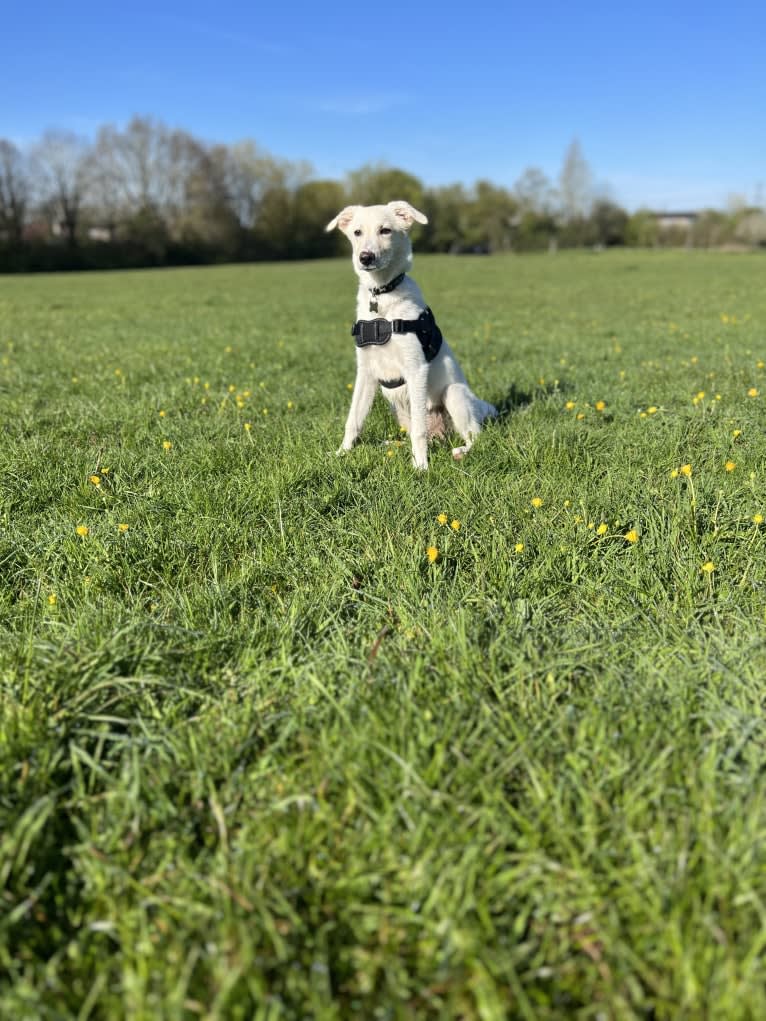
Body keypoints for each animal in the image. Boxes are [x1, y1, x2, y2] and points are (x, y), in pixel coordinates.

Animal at [324, 200, 498, 469]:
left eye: (385, 230)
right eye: (357, 232)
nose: (366, 257)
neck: (382, 296)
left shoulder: (416, 369)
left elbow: (419, 430)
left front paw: (420, 466)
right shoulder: (366, 373)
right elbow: (353, 419)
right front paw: (342, 453)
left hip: (454, 394)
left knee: (474, 436)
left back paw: (459, 451)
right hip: (398, 409)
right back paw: (390, 444)